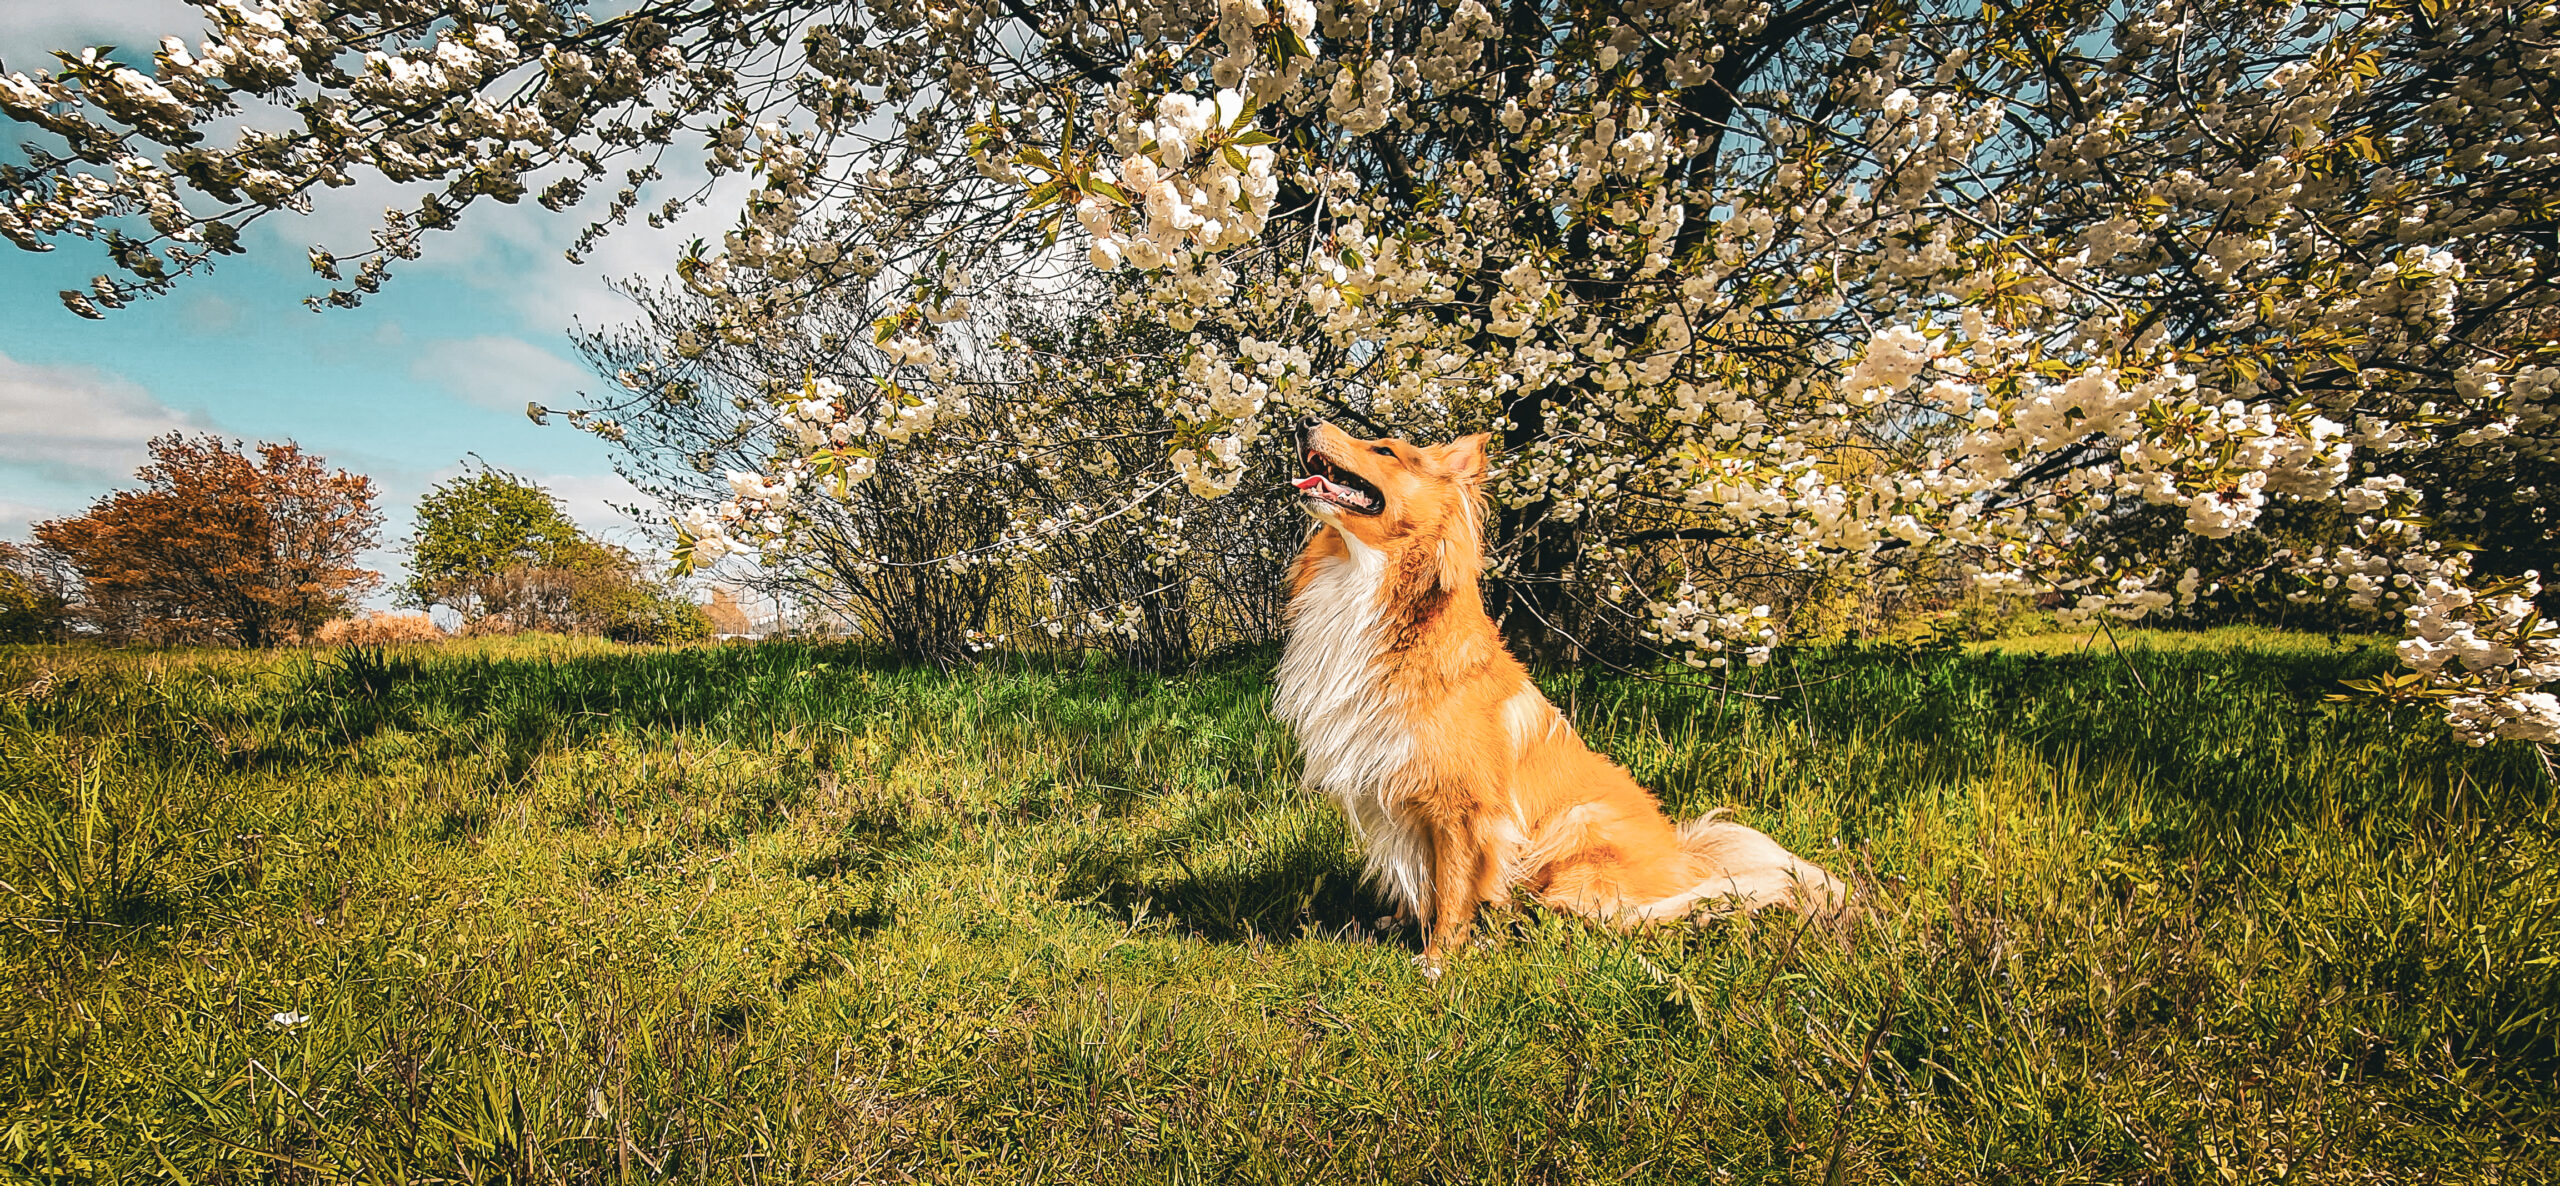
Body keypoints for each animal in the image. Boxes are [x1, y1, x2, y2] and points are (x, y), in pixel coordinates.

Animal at [1274, 417, 1843, 963]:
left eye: (1386, 451)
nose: (1303, 421)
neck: (1367, 580)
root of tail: (1689, 863)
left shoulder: (1462, 807)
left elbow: (1453, 887)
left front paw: (1438, 959)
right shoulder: (1396, 788)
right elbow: (1423, 877)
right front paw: (1400, 921)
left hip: (1577, 827)